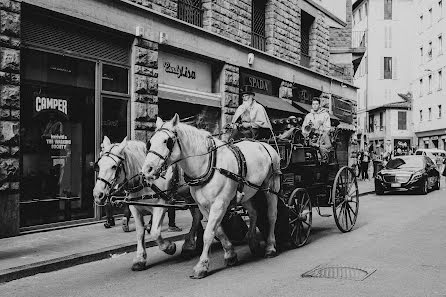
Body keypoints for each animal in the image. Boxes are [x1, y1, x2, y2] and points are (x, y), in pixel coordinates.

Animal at [93, 136, 205, 270]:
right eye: (99, 165)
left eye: (114, 166)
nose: (98, 194)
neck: (144, 181)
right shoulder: (135, 207)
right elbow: (140, 232)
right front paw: (140, 258)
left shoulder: (161, 204)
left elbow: (155, 232)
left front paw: (169, 247)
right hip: (189, 195)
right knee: (197, 215)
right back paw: (195, 245)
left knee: (198, 216)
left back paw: (190, 244)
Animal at [143, 114, 280, 278]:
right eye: (150, 142)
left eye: (167, 141)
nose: (147, 170)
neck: (207, 165)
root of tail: (264, 144)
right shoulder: (203, 205)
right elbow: (218, 230)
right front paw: (230, 254)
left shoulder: (219, 204)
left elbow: (208, 233)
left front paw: (201, 266)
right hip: (247, 191)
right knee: (254, 213)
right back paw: (252, 241)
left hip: (271, 186)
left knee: (271, 215)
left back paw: (270, 247)